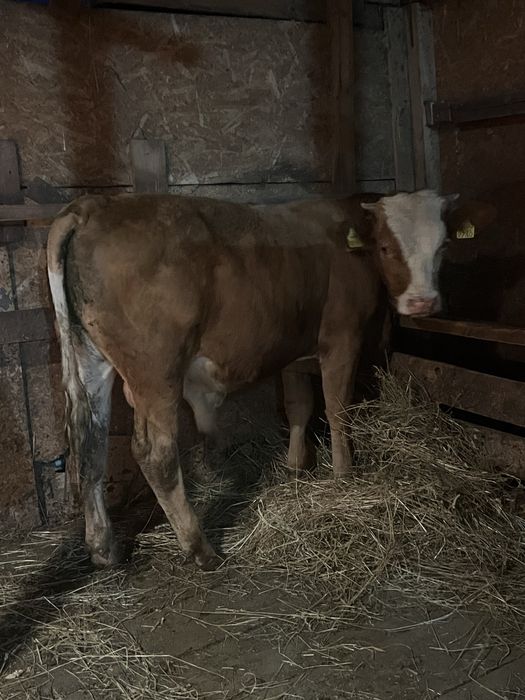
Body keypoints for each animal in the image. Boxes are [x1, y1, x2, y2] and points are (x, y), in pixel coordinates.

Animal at [47, 189, 471, 571]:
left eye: (443, 246)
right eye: (385, 246)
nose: (423, 302)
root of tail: (95, 206)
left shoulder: (294, 350)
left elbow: (300, 406)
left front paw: (297, 465)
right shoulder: (342, 339)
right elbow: (337, 410)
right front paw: (344, 475)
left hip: (90, 359)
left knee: (89, 445)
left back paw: (105, 549)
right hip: (156, 371)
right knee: (156, 454)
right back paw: (200, 550)